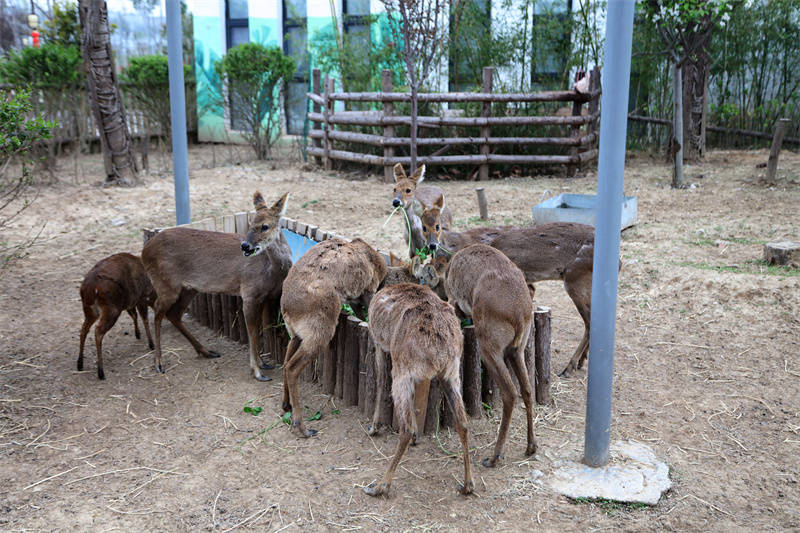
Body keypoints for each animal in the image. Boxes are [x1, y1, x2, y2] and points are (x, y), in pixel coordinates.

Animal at [142, 190, 292, 378]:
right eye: (250, 223)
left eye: (265, 226)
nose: (245, 246)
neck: (272, 271)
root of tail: (143, 252)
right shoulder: (249, 293)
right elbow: (251, 331)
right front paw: (257, 371)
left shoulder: (266, 297)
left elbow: (260, 329)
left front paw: (263, 364)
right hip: (166, 283)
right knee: (157, 311)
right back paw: (159, 363)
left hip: (189, 288)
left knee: (173, 313)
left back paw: (206, 351)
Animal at [282, 237, 388, 436]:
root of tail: (287, 308)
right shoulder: (369, 291)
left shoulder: (356, 302)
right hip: (319, 335)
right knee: (292, 368)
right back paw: (302, 427)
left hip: (296, 335)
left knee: (286, 362)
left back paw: (286, 406)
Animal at [364, 284, 472, 496]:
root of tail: (441, 349)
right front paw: (416, 436)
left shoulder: (378, 342)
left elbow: (380, 381)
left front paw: (373, 427)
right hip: (451, 373)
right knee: (462, 422)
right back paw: (467, 485)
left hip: (401, 368)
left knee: (404, 427)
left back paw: (379, 486)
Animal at [418, 193, 600, 376]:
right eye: (423, 226)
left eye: (437, 225)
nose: (431, 245)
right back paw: (581, 361)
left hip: (575, 279)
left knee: (589, 322)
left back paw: (570, 366)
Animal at [428, 244, 536, 466]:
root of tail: (520, 313)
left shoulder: (454, 301)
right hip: (517, 351)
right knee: (527, 389)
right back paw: (530, 446)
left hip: (489, 350)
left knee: (510, 393)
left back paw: (494, 457)